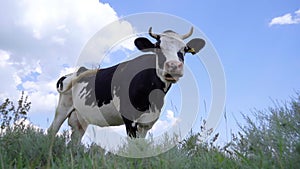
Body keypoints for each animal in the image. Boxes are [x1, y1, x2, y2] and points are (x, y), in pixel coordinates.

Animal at [48, 27, 205, 141]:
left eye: (185, 49)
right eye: (157, 46)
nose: (173, 66)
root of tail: (77, 71)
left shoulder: (147, 123)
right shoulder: (129, 118)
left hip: (80, 118)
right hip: (62, 108)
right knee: (52, 130)